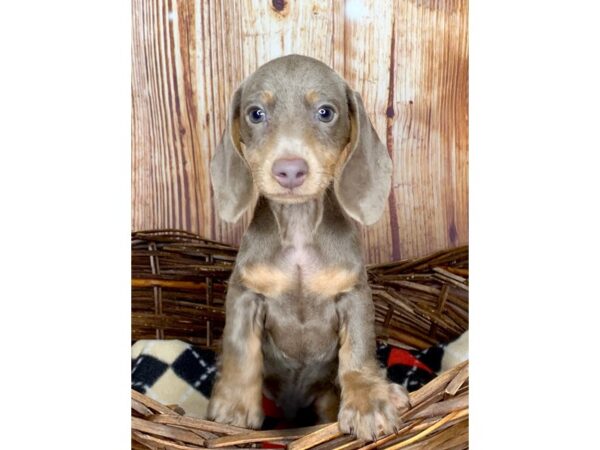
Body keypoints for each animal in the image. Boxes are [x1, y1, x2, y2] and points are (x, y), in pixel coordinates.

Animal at [206, 53, 408, 440]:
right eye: (256, 113)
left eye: (326, 112)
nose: (289, 171)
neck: (298, 227)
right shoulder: (244, 294)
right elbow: (240, 352)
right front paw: (233, 408)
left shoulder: (353, 295)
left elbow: (358, 351)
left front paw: (367, 402)